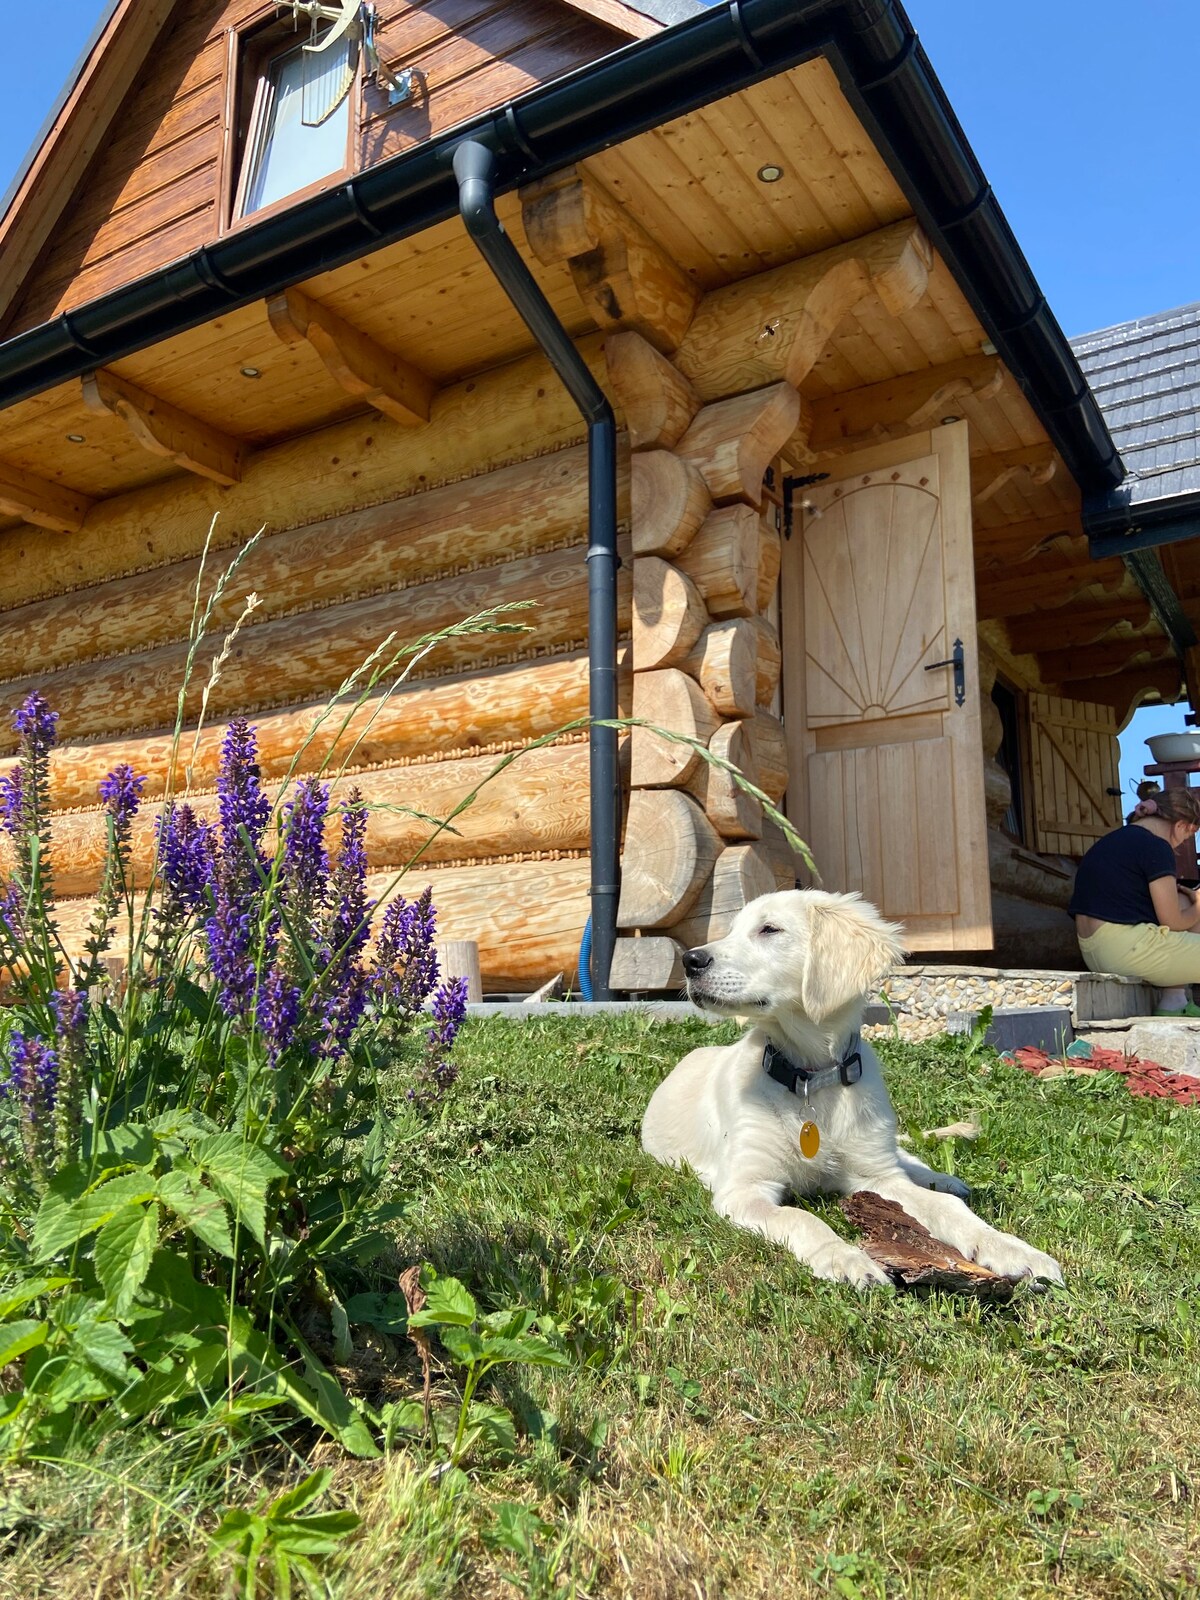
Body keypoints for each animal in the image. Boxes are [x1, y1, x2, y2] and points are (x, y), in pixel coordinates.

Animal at [643, 889, 1068, 1286]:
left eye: (769, 929)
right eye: (730, 931)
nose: (690, 961)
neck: (813, 1079)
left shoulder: (878, 1177)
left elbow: (945, 1207)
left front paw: (1011, 1248)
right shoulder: (744, 1188)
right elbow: (801, 1218)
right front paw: (844, 1258)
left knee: (912, 1164)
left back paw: (946, 1179)